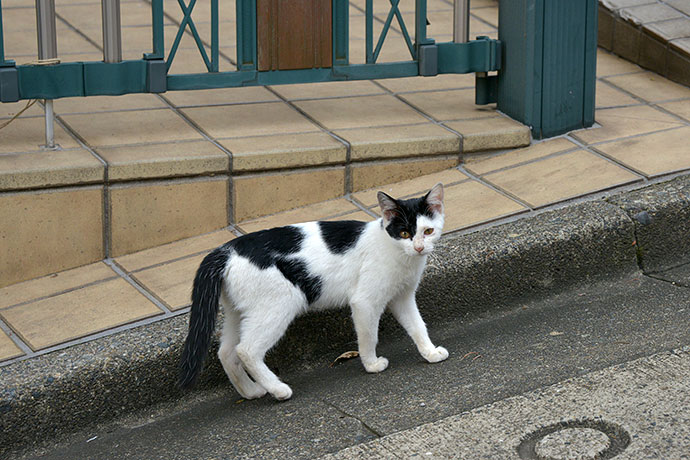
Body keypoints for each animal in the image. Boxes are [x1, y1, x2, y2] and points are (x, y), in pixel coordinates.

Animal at [177, 183, 446, 398]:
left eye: (428, 231)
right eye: (404, 233)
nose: (419, 247)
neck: (398, 252)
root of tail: (225, 250)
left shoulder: (403, 297)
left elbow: (418, 326)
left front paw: (430, 352)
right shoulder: (365, 302)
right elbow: (369, 336)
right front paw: (371, 364)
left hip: (240, 312)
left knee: (226, 352)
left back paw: (252, 391)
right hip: (281, 303)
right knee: (246, 350)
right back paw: (278, 390)